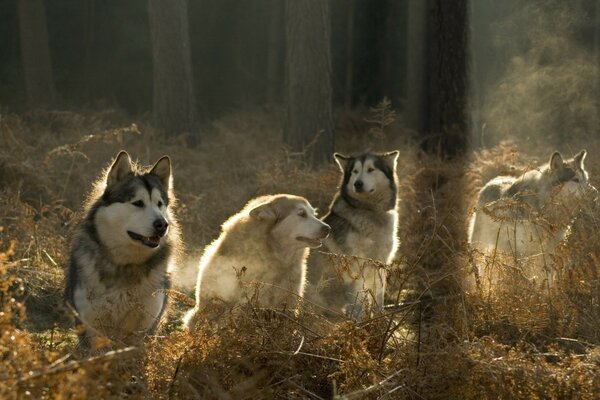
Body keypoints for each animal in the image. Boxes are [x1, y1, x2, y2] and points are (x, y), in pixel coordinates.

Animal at [65, 151, 179, 346]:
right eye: (138, 203)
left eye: (160, 204)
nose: (163, 225)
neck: (125, 265)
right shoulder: (92, 328)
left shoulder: (144, 329)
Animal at [308, 152, 400, 320]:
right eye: (355, 171)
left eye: (370, 169)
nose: (358, 184)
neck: (369, 211)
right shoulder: (354, 268)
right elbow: (358, 303)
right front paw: (360, 323)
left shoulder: (380, 264)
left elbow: (378, 297)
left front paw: (380, 320)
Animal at [468, 151, 596, 282]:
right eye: (576, 180)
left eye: (586, 180)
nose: (595, 192)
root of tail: (492, 181)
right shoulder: (529, 253)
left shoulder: (549, 252)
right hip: (481, 246)